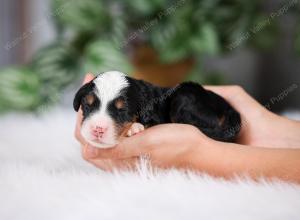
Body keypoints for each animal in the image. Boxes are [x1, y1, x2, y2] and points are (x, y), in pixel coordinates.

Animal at [73, 71, 241, 149]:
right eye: (88, 105)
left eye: (123, 111)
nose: (97, 129)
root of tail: (227, 107)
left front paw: (133, 128)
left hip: (184, 97)